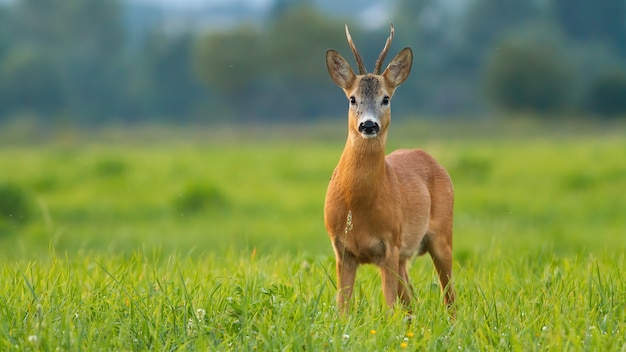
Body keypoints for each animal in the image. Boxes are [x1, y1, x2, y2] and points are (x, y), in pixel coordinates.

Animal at [322, 24, 454, 316]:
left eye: (386, 98)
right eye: (352, 99)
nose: (369, 124)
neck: (356, 205)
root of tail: (431, 158)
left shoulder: (389, 245)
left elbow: (390, 306)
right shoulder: (341, 249)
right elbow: (342, 309)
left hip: (441, 236)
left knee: (449, 296)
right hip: (406, 256)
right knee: (413, 302)